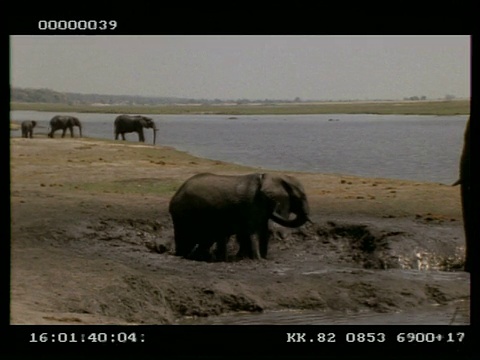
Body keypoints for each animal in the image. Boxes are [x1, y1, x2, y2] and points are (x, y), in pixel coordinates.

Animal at [169, 172, 312, 262]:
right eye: (300, 197)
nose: (274, 206)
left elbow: (262, 231)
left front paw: (260, 258)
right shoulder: (253, 204)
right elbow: (253, 231)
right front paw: (258, 259)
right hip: (184, 214)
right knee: (186, 237)